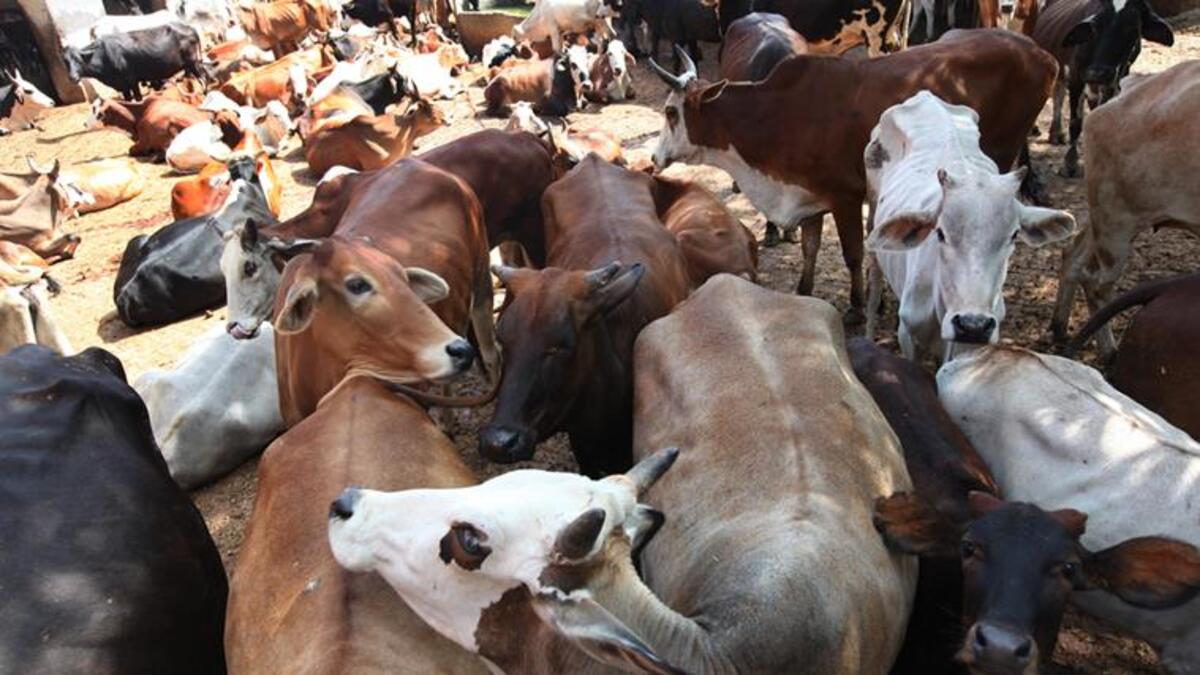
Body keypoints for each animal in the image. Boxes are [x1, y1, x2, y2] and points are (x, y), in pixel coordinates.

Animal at [65, 23, 207, 100]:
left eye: (77, 59)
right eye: (65, 62)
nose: (72, 77)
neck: (104, 56)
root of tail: (189, 27)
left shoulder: (132, 81)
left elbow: (138, 98)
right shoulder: (123, 86)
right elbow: (128, 100)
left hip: (193, 62)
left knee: (203, 79)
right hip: (190, 65)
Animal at [651, 30, 1057, 322]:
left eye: (671, 112)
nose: (654, 157)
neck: (779, 114)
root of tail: (1040, 53)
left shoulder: (844, 197)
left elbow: (852, 253)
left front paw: (858, 306)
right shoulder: (808, 194)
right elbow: (810, 247)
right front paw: (804, 290)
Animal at [863, 91, 1076, 362]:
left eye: (1014, 235)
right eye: (940, 233)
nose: (973, 325)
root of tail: (925, 96)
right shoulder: (908, 335)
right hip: (872, 221)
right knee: (873, 289)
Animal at [1033, 0, 1173, 177]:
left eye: (1133, 28)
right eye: (1094, 26)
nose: (1097, 72)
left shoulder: (1115, 81)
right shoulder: (1076, 78)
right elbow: (1076, 122)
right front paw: (1070, 163)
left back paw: (1057, 133)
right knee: (1058, 96)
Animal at [1051, 61, 1200, 353]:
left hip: (1101, 215)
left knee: (1072, 253)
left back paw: (1059, 328)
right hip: (1116, 223)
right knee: (1095, 282)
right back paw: (1108, 352)